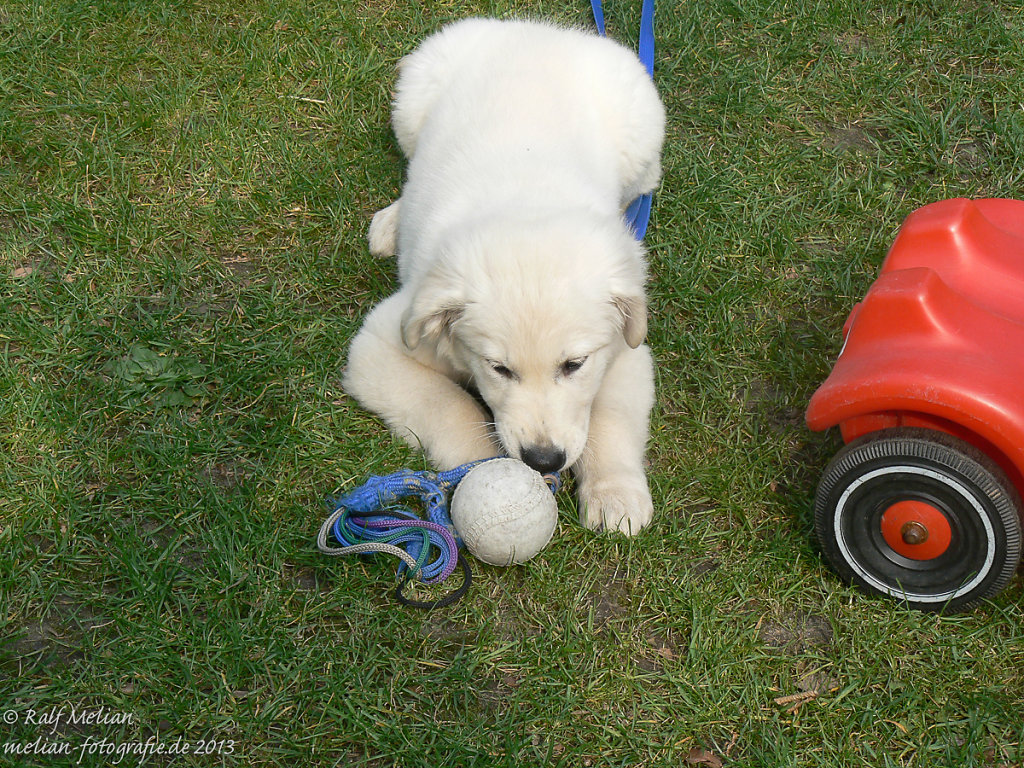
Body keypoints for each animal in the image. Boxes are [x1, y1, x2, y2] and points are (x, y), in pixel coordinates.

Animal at [344, 18, 663, 536]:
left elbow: (611, 419)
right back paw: (393, 223)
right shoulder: (380, 345)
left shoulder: (627, 347)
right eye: (499, 369)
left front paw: (615, 494)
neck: (525, 207)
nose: (543, 460)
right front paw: (483, 472)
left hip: (644, 138)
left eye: (574, 365)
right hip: (411, 103)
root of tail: (539, 30)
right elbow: (445, 406)